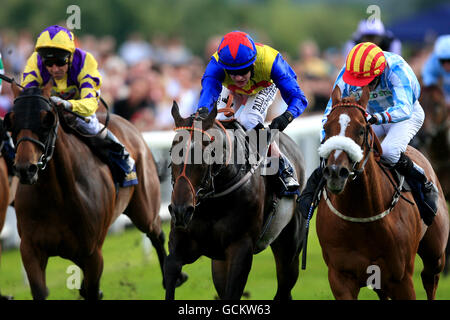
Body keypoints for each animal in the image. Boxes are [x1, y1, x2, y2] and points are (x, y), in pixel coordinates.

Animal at [3, 83, 181, 300]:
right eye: (11, 121)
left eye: (46, 120)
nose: (25, 169)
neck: (56, 197)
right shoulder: (30, 249)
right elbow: (40, 291)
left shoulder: (93, 253)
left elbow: (92, 290)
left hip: (144, 208)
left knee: (156, 233)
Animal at [163, 102, 308, 300]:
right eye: (172, 152)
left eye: (205, 154)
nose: (180, 210)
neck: (214, 203)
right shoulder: (182, 243)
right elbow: (170, 270)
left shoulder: (241, 248)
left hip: (289, 246)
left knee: (284, 288)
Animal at [316, 85, 450, 300]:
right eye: (326, 128)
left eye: (361, 130)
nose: (336, 172)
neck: (361, 215)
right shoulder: (340, 278)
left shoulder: (402, 279)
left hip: (435, 254)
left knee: (431, 278)